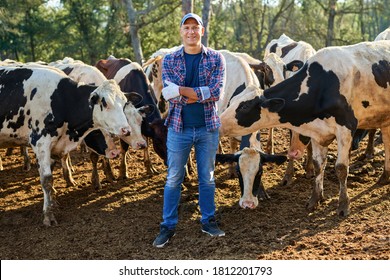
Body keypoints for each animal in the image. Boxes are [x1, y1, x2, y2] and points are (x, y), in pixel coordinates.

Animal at [221, 40, 390, 217]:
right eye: (231, 102)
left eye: (244, 106)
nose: (219, 121)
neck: (322, 86)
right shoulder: (317, 132)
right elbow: (318, 164)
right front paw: (315, 199)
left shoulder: (346, 129)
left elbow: (341, 168)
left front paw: (343, 205)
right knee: (386, 141)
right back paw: (385, 176)